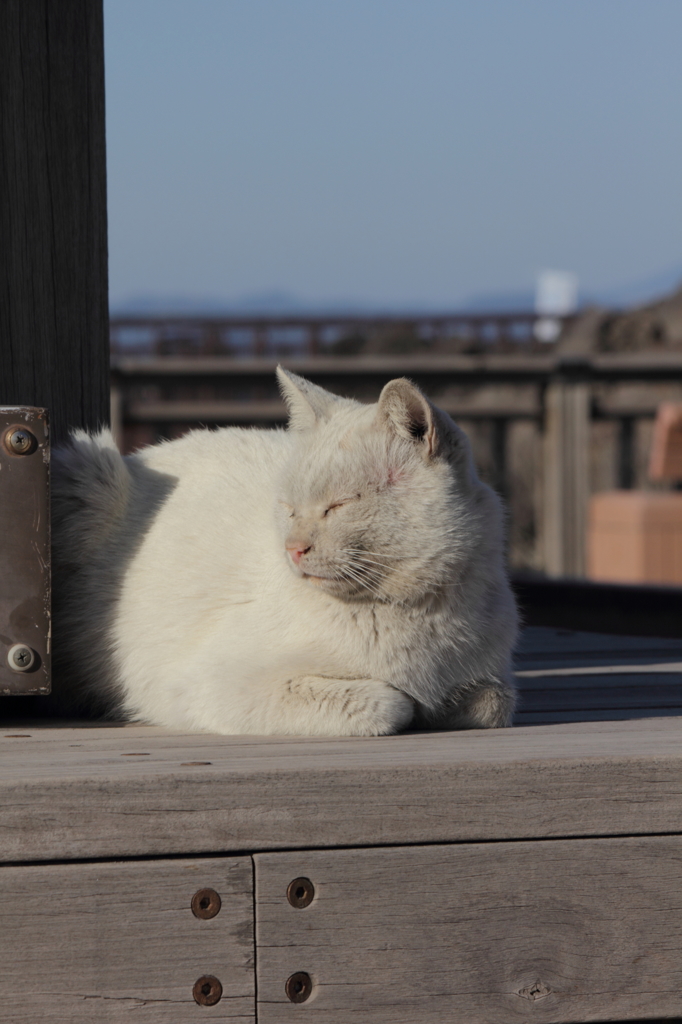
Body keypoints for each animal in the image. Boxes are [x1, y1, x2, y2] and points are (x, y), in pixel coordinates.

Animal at [51, 368, 516, 737]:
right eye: (289, 508)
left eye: (336, 507)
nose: (292, 548)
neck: (419, 617)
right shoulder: (206, 683)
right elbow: (389, 702)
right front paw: (410, 704)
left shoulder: (493, 681)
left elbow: (491, 703)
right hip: (87, 466)